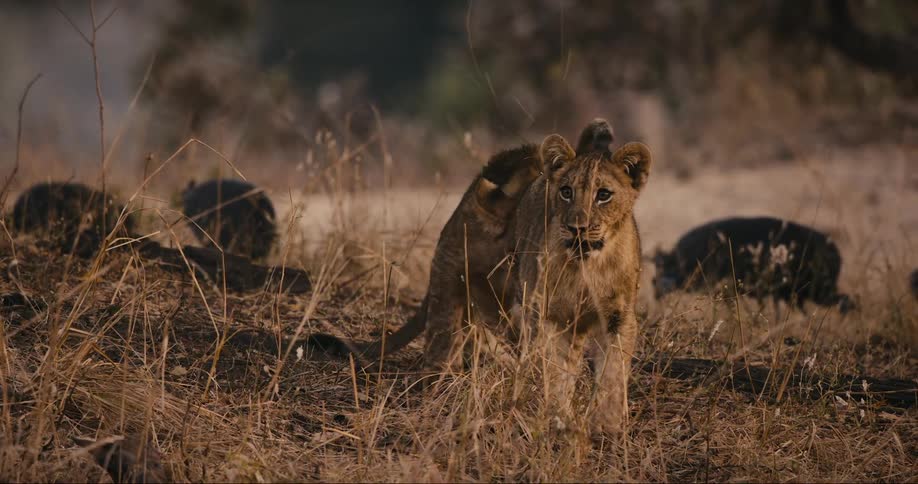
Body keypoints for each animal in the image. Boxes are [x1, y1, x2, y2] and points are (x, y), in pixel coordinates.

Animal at [509, 131, 652, 433]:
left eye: (603, 195)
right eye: (566, 192)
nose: (578, 228)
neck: (587, 268)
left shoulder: (619, 316)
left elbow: (613, 370)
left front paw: (608, 422)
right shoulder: (550, 317)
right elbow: (555, 371)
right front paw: (558, 415)